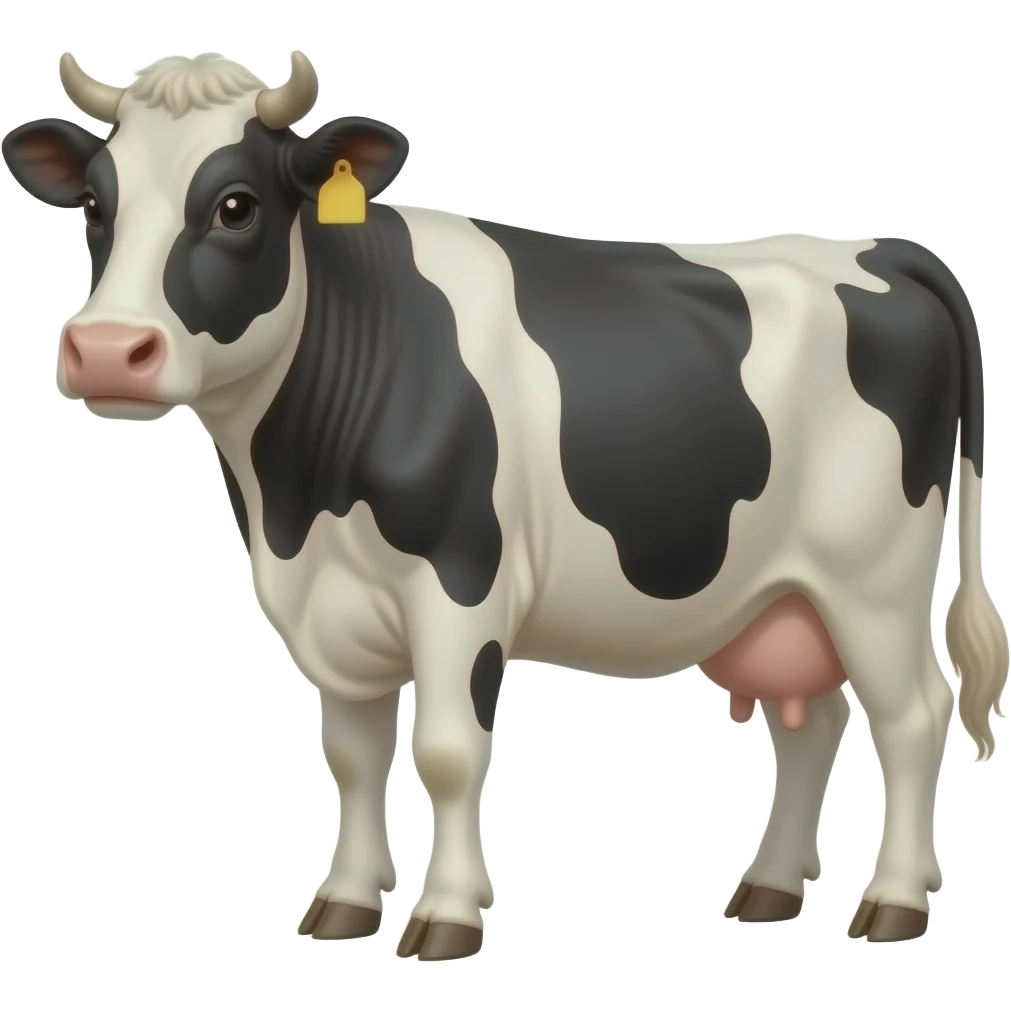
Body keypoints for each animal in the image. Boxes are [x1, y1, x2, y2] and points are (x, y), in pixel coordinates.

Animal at [3, 49, 1007, 957]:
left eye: (236, 205)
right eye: (95, 204)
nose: (106, 349)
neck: (295, 499)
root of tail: (878, 247)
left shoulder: (461, 583)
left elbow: (448, 752)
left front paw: (446, 916)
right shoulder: (326, 605)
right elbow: (353, 758)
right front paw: (344, 904)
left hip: (872, 578)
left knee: (912, 715)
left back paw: (892, 902)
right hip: (788, 592)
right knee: (815, 723)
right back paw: (767, 888)